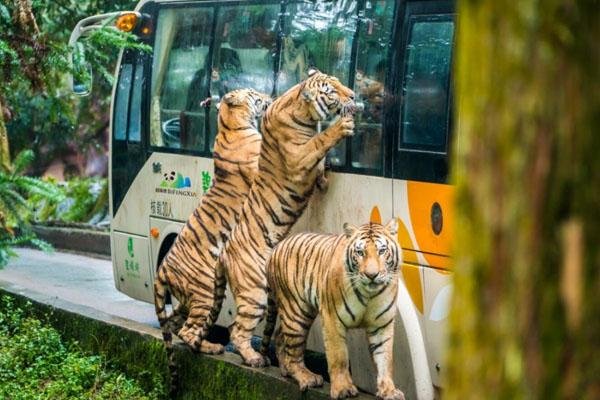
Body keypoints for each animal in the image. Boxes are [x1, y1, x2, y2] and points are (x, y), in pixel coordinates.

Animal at [152, 87, 272, 388]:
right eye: (254, 94)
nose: (269, 97)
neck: (229, 125)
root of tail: (162, 270)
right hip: (204, 291)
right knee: (188, 331)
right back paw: (212, 347)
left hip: (189, 299)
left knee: (175, 325)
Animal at [212, 68, 356, 366]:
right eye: (332, 90)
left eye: (339, 81)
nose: (353, 95)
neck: (304, 112)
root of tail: (223, 254)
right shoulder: (299, 157)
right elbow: (321, 143)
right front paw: (342, 127)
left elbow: (320, 166)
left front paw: (324, 179)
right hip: (255, 292)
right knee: (238, 330)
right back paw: (255, 358)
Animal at [262, 222, 406, 400]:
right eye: (360, 252)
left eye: (382, 251)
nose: (372, 275)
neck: (369, 294)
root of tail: (276, 247)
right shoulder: (332, 318)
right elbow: (339, 356)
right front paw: (343, 389)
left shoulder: (382, 324)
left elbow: (384, 358)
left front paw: (389, 391)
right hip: (296, 312)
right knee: (293, 352)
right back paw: (307, 378)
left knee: (280, 337)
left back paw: (285, 371)